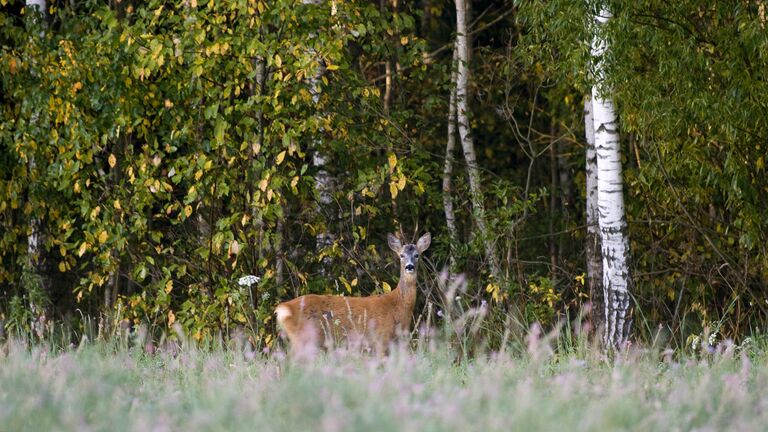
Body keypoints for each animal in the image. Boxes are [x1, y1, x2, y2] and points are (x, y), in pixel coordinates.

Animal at [276, 233, 432, 354]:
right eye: (401, 255)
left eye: (417, 255)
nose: (409, 266)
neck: (397, 306)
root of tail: (283, 308)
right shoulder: (381, 338)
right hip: (304, 338)